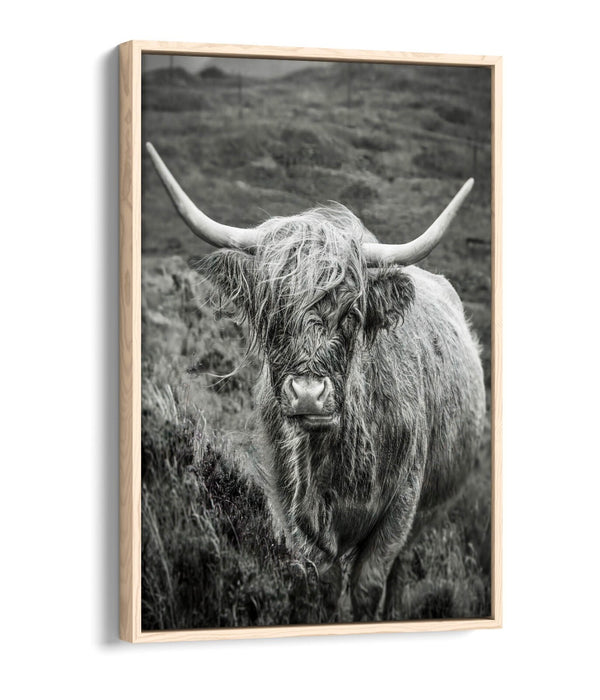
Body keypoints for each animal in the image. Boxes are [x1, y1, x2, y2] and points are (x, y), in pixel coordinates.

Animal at [146, 142, 486, 622]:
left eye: (352, 315)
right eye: (271, 314)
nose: (308, 394)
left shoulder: (401, 506)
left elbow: (369, 584)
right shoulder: (292, 510)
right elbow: (321, 583)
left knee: (402, 571)